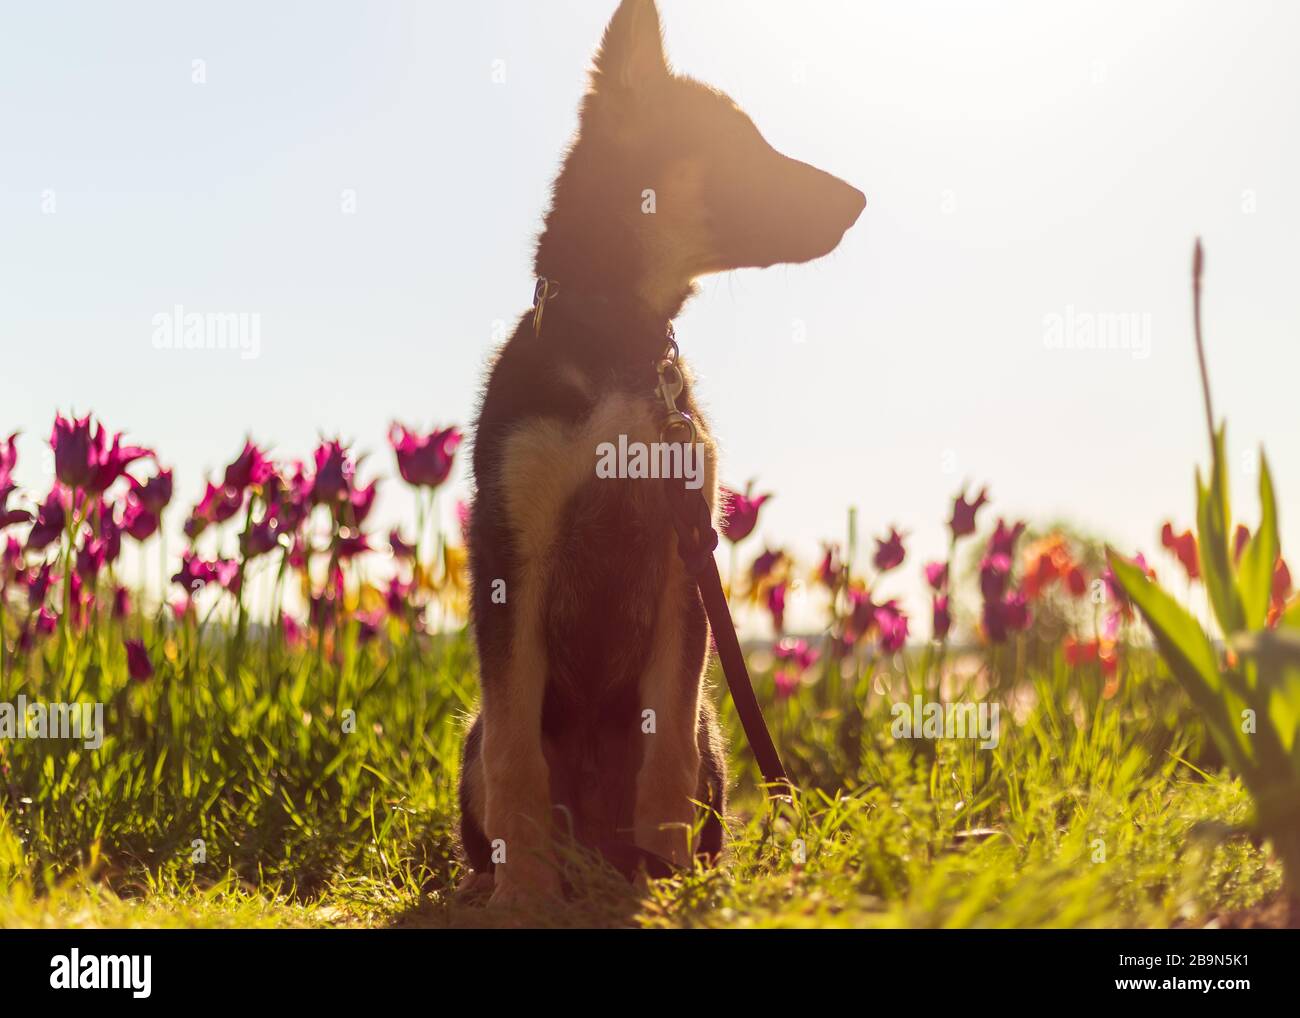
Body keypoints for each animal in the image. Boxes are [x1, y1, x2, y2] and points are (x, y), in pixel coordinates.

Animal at [457, 0, 863, 910]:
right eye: (740, 143)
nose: (861, 198)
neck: (618, 343)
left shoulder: (686, 558)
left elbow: (666, 748)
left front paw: (670, 881)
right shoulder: (512, 551)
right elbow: (516, 757)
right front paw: (525, 893)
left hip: (716, 729)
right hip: (470, 734)